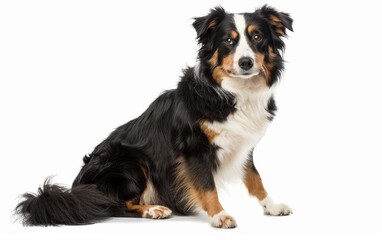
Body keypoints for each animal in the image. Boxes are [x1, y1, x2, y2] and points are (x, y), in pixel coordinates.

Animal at [16, 4, 292, 228]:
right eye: (227, 41)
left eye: (257, 37)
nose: (246, 62)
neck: (233, 92)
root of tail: (76, 189)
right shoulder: (194, 147)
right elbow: (207, 185)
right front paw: (219, 215)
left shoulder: (243, 145)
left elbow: (255, 178)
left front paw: (272, 205)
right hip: (131, 161)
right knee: (113, 205)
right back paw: (153, 209)